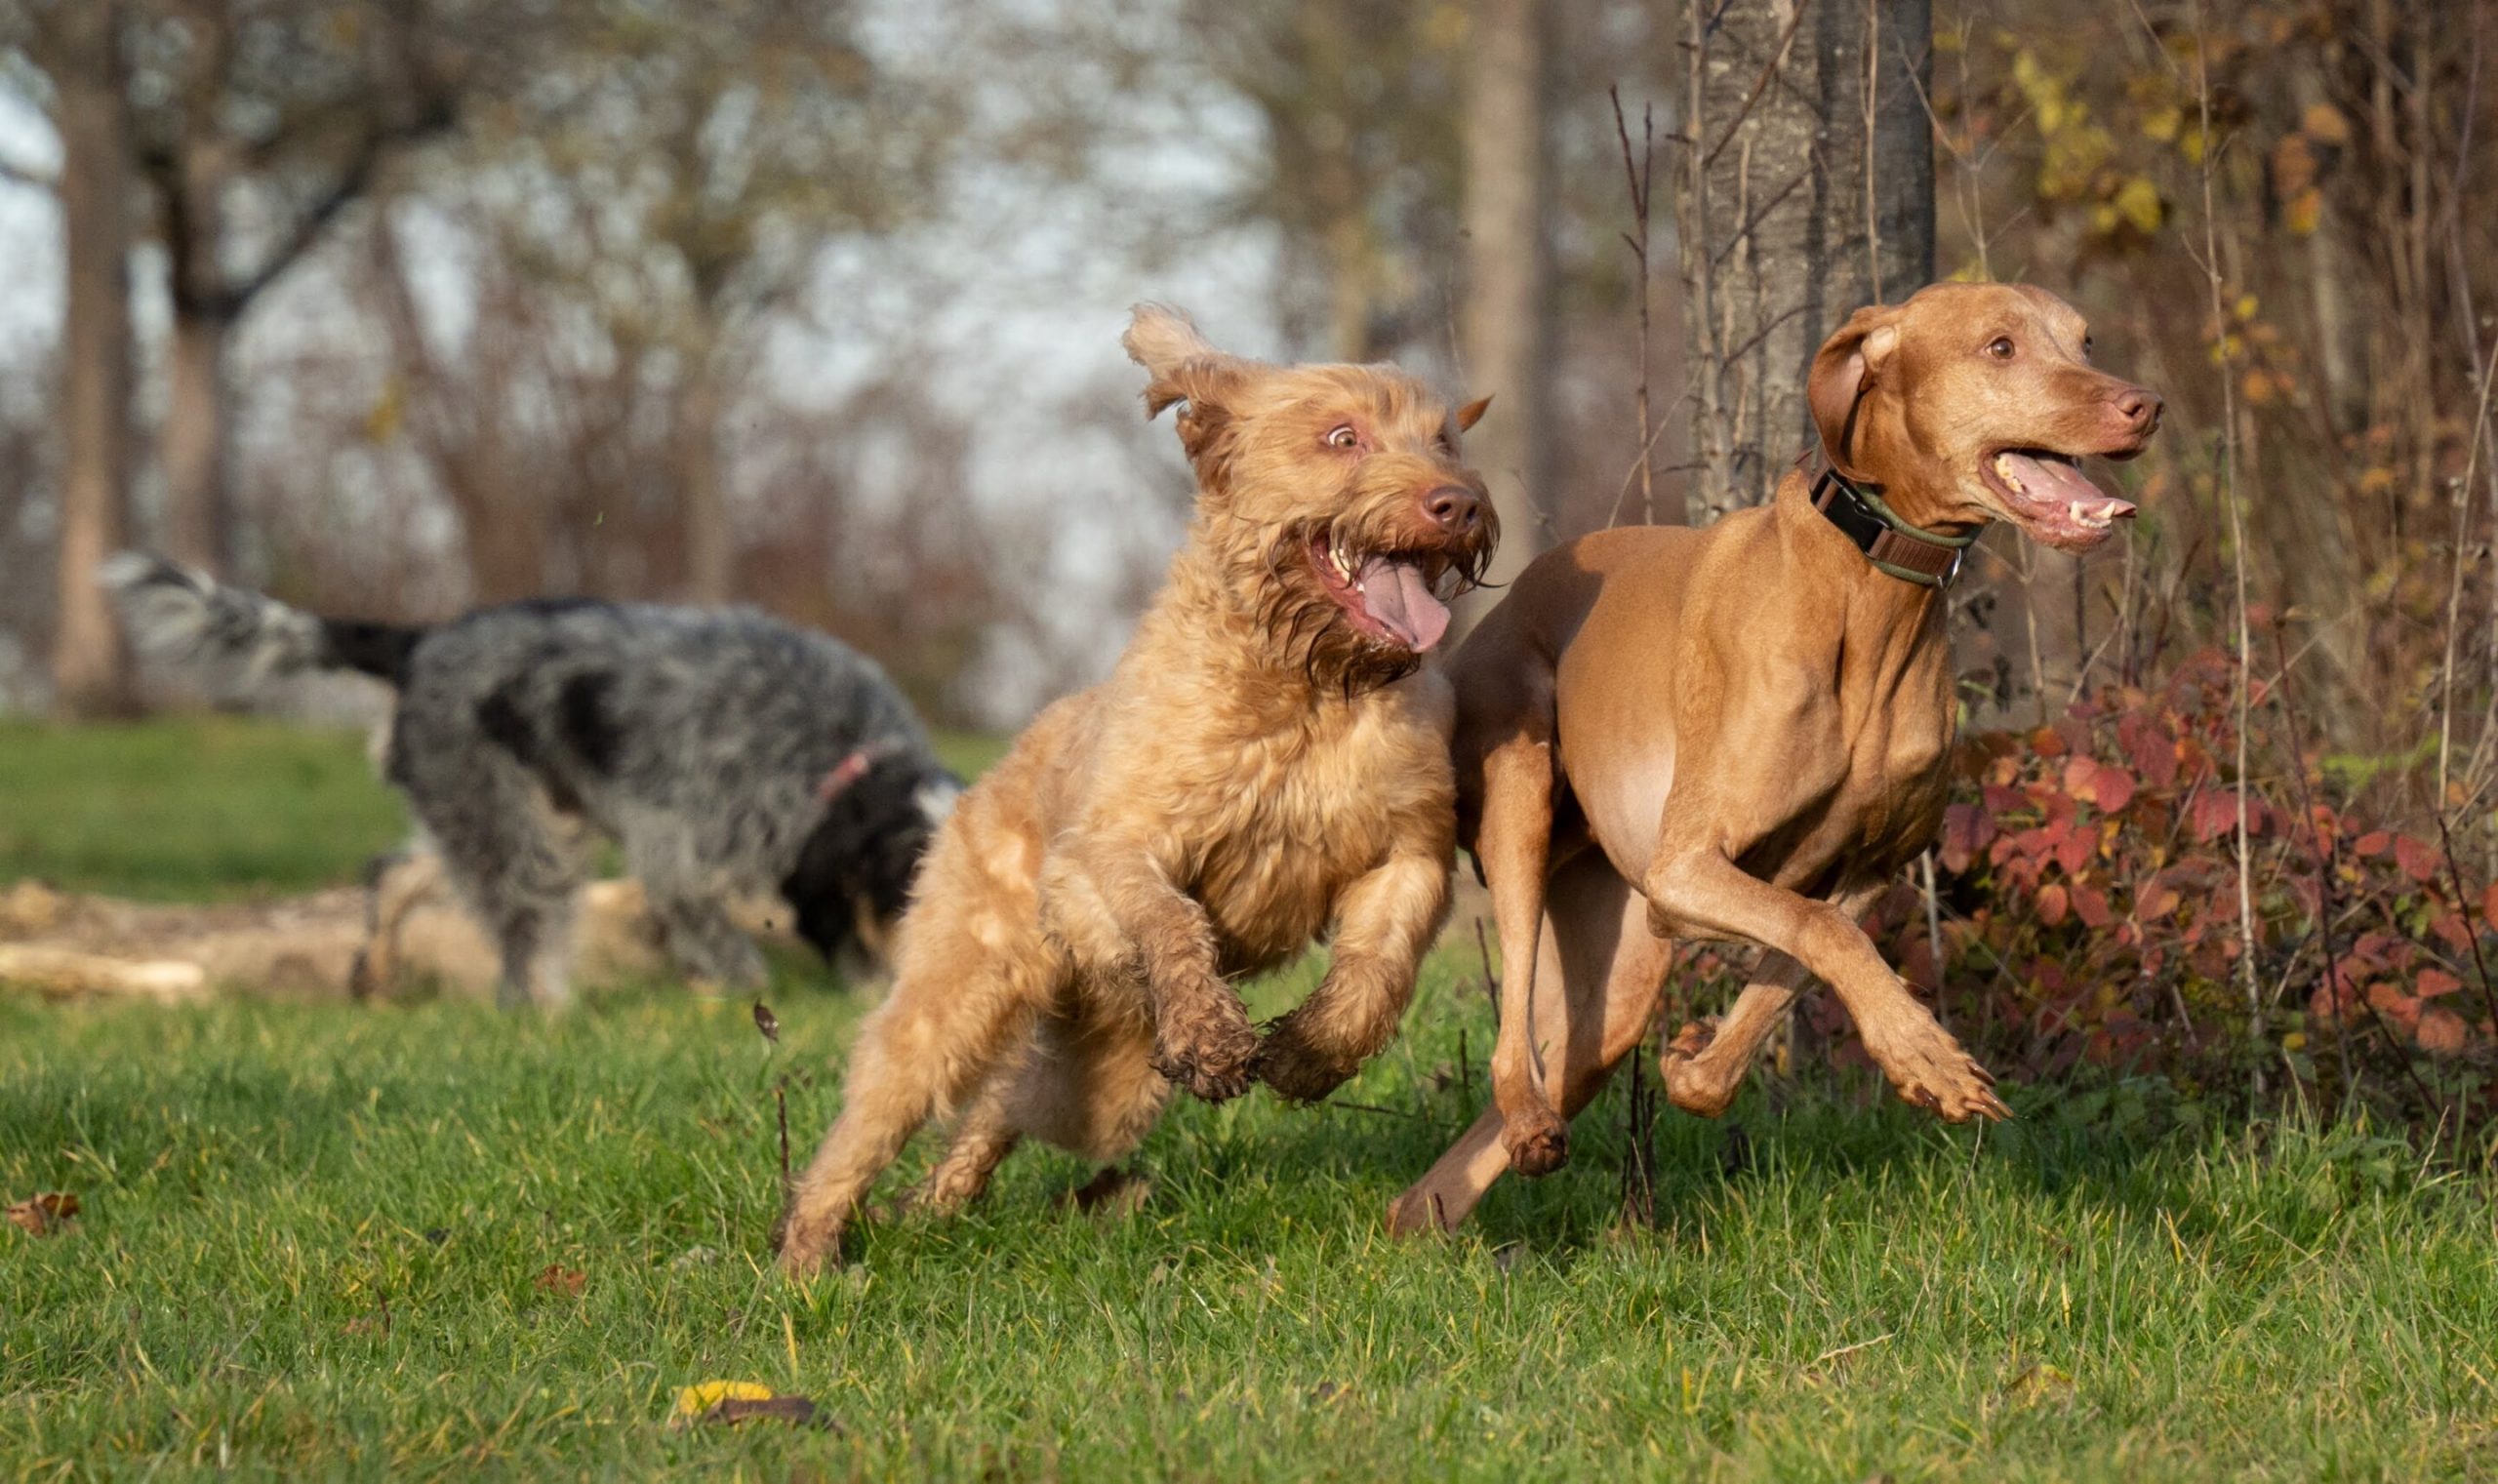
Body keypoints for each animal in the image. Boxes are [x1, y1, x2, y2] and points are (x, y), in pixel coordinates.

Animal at [101, 554, 953, 1004]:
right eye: (911, 885)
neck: (836, 748)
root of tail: (419, 643)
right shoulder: (678, 848)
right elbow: (721, 937)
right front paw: (747, 992)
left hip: (494, 810)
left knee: (396, 872)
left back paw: (378, 975)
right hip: (515, 828)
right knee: (515, 926)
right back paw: (543, 1008)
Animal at [769, 305, 1488, 1263]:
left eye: (1443, 439)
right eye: (1343, 437)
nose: (1460, 503)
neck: (1303, 688)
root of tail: (973, 787)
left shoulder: (1406, 852)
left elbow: (1379, 971)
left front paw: (1308, 1053)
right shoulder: (1113, 850)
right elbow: (1170, 918)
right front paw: (1209, 1031)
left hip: (1100, 1078)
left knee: (1005, 1105)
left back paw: (940, 1200)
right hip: (955, 998)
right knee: (870, 1118)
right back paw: (807, 1257)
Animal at [1398, 283, 2157, 1228]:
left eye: (2084, 340)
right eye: (2000, 346)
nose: (2144, 404)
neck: (1869, 592)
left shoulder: (1866, 868)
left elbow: (1786, 975)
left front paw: (1698, 1061)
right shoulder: (1687, 869)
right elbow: (1820, 930)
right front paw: (1929, 1054)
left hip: (1616, 984)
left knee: (1467, 1148)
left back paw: (1419, 1222)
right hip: (1521, 798)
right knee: (1511, 1031)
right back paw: (1528, 1119)